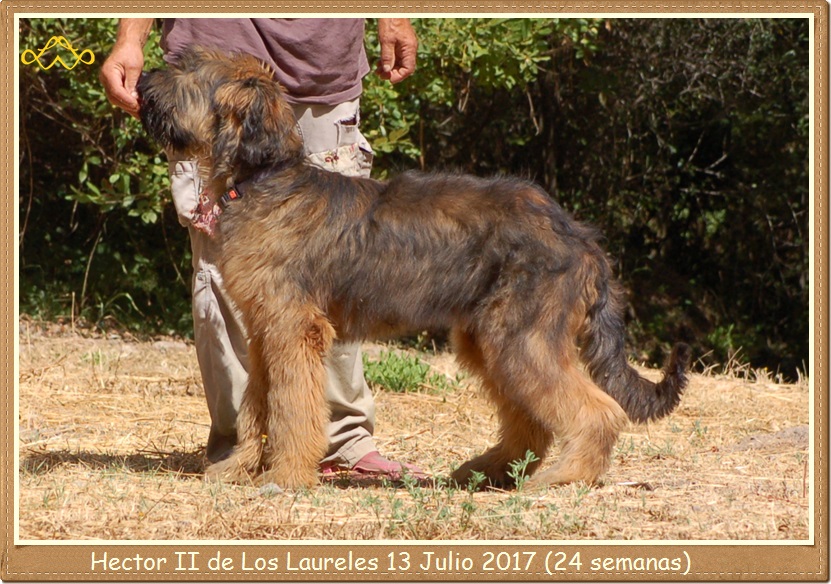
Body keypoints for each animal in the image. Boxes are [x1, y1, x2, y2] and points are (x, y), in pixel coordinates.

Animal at [138, 49, 696, 488]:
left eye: (187, 68)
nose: (140, 79)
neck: (262, 181)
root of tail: (581, 238)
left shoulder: (294, 330)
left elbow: (293, 408)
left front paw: (286, 477)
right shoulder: (264, 332)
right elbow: (257, 405)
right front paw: (239, 468)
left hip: (522, 337)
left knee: (598, 411)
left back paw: (565, 476)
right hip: (491, 340)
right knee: (530, 423)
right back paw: (488, 472)